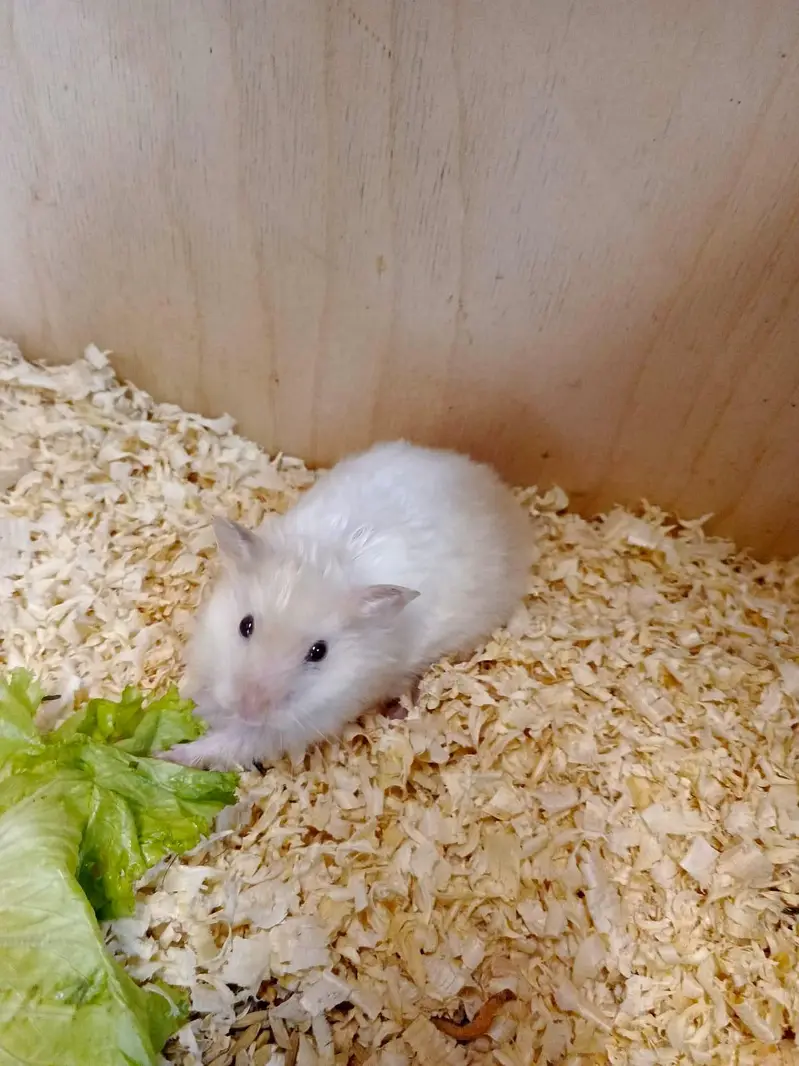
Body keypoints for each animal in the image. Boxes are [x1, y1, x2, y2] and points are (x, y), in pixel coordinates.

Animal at [161, 440, 530, 770]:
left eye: (318, 652)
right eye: (245, 625)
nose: (248, 709)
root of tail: (502, 493)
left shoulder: (306, 720)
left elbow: (234, 742)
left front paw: (167, 753)